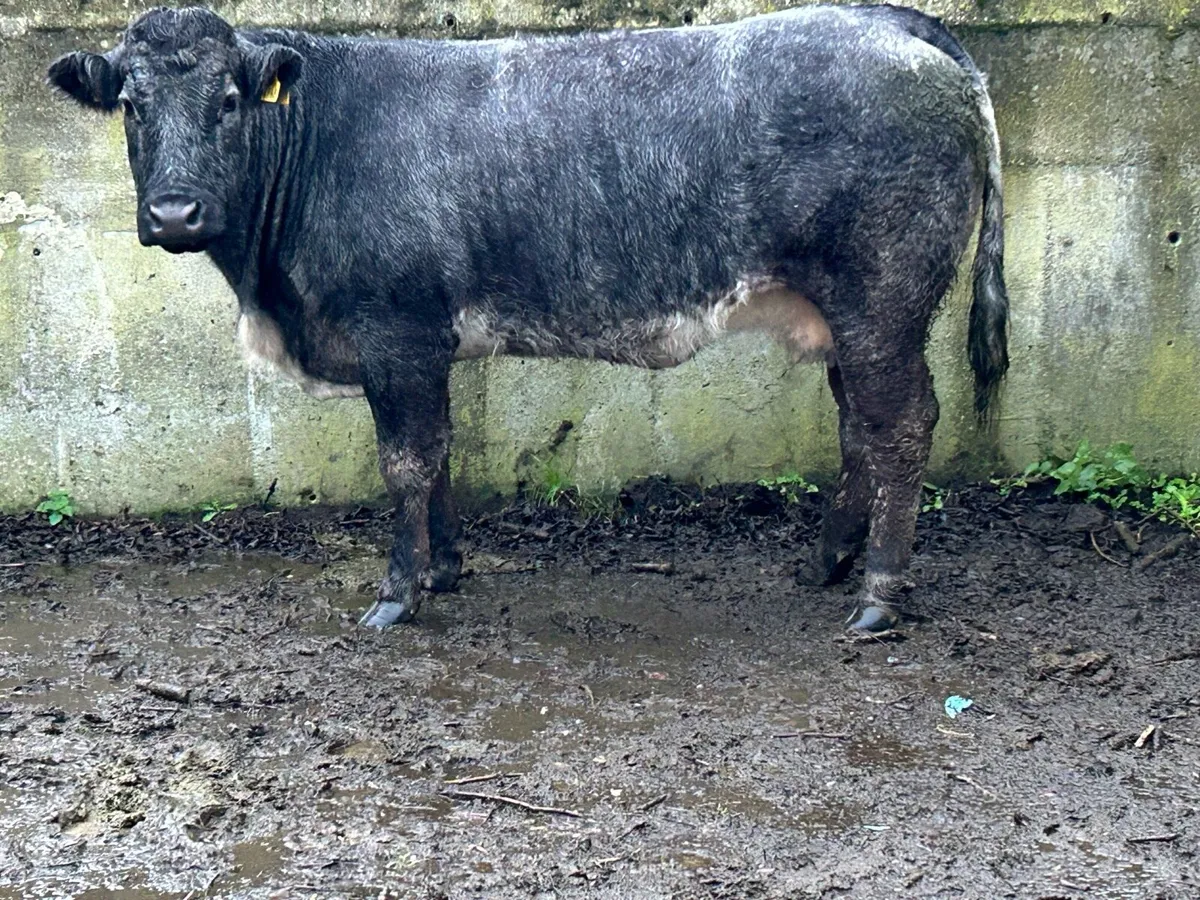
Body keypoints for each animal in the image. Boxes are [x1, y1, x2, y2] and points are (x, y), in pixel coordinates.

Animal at [48, 4, 1009, 635]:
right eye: (130, 105)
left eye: (229, 101)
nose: (175, 213)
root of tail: (891, 22)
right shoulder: (423, 343)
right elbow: (436, 456)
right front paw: (445, 568)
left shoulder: (396, 329)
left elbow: (405, 459)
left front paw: (399, 593)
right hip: (847, 314)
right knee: (859, 426)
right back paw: (827, 562)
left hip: (882, 297)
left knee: (901, 425)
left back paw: (878, 594)